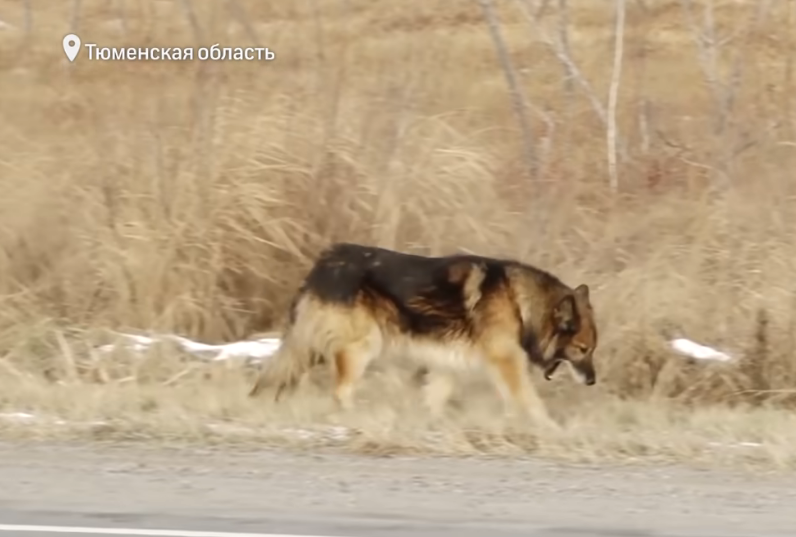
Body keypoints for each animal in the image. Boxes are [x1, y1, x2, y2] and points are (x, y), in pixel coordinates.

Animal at [249, 242, 596, 428]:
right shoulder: (506, 362)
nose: (592, 381)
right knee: (341, 392)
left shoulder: (448, 365)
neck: (519, 303)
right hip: (363, 346)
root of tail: (324, 263)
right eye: (582, 349)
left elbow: (435, 399)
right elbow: (529, 400)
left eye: (591, 349)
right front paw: (551, 428)